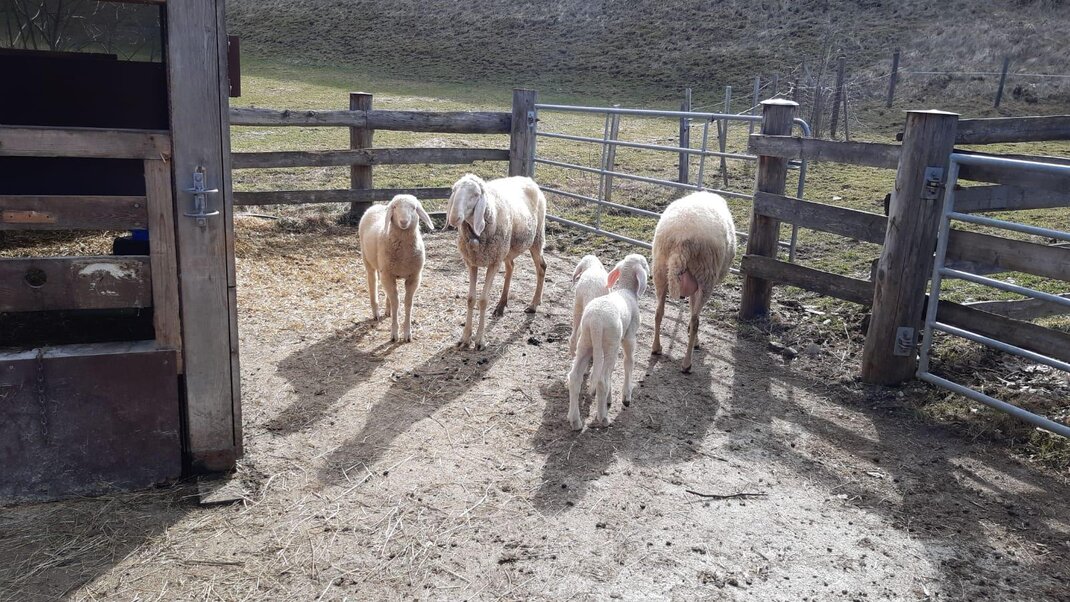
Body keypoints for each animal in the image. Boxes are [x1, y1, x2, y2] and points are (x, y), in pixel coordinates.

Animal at [358, 194, 435, 342]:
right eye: (394, 207)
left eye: (414, 208)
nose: (404, 221)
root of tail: (377, 206)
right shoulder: (388, 275)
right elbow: (396, 303)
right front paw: (394, 333)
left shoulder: (414, 277)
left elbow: (407, 303)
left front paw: (407, 333)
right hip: (369, 261)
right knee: (373, 282)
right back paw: (375, 312)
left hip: (385, 270)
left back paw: (387, 311)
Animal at [445, 173, 547, 350]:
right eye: (454, 191)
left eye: (475, 195)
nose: (454, 218)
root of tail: (528, 178)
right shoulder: (471, 262)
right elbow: (471, 299)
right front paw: (465, 338)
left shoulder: (493, 263)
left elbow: (483, 300)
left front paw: (479, 340)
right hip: (506, 250)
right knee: (511, 267)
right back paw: (501, 306)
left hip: (536, 238)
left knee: (541, 268)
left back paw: (533, 305)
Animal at [566, 253, 649, 431]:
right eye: (645, 264)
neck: (627, 290)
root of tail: (596, 322)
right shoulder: (630, 337)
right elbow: (629, 362)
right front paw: (626, 396)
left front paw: (608, 399)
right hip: (611, 344)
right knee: (602, 380)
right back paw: (603, 418)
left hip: (586, 342)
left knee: (575, 377)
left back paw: (575, 420)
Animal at [650, 191, 737, 373]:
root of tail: (681, 239)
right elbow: (693, 312)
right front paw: (694, 338)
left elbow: (690, 305)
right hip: (706, 276)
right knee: (695, 320)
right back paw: (687, 363)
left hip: (660, 270)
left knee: (659, 312)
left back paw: (656, 348)